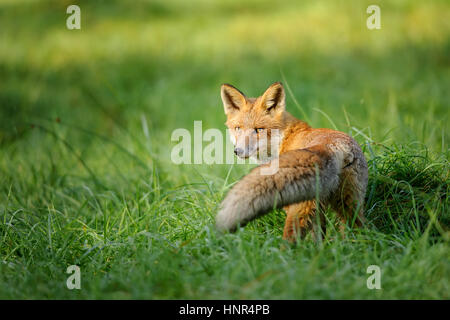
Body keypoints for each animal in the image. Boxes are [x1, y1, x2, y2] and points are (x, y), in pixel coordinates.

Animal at [216, 82, 368, 242]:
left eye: (259, 129)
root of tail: (333, 147)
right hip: (349, 204)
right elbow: (318, 238)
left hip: (299, 209)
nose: (238, 151)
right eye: (238, 128)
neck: (283, 139)